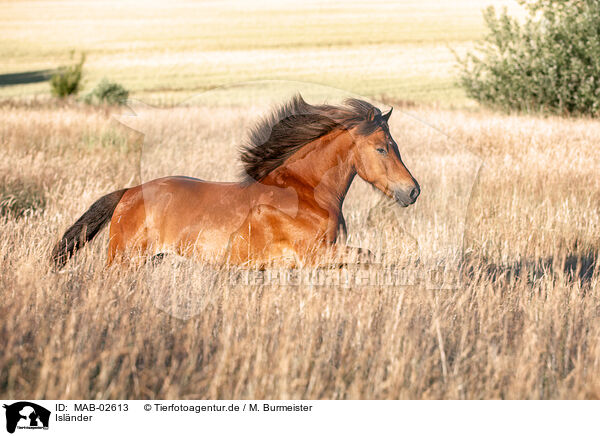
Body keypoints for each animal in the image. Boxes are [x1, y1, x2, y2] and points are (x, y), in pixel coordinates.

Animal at [51, 93, 420, 268]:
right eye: (382, 148)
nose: (412, 191)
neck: (304, 193)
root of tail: (128, 193)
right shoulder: (314, 256)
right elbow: (369, 257)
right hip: (124, 261)